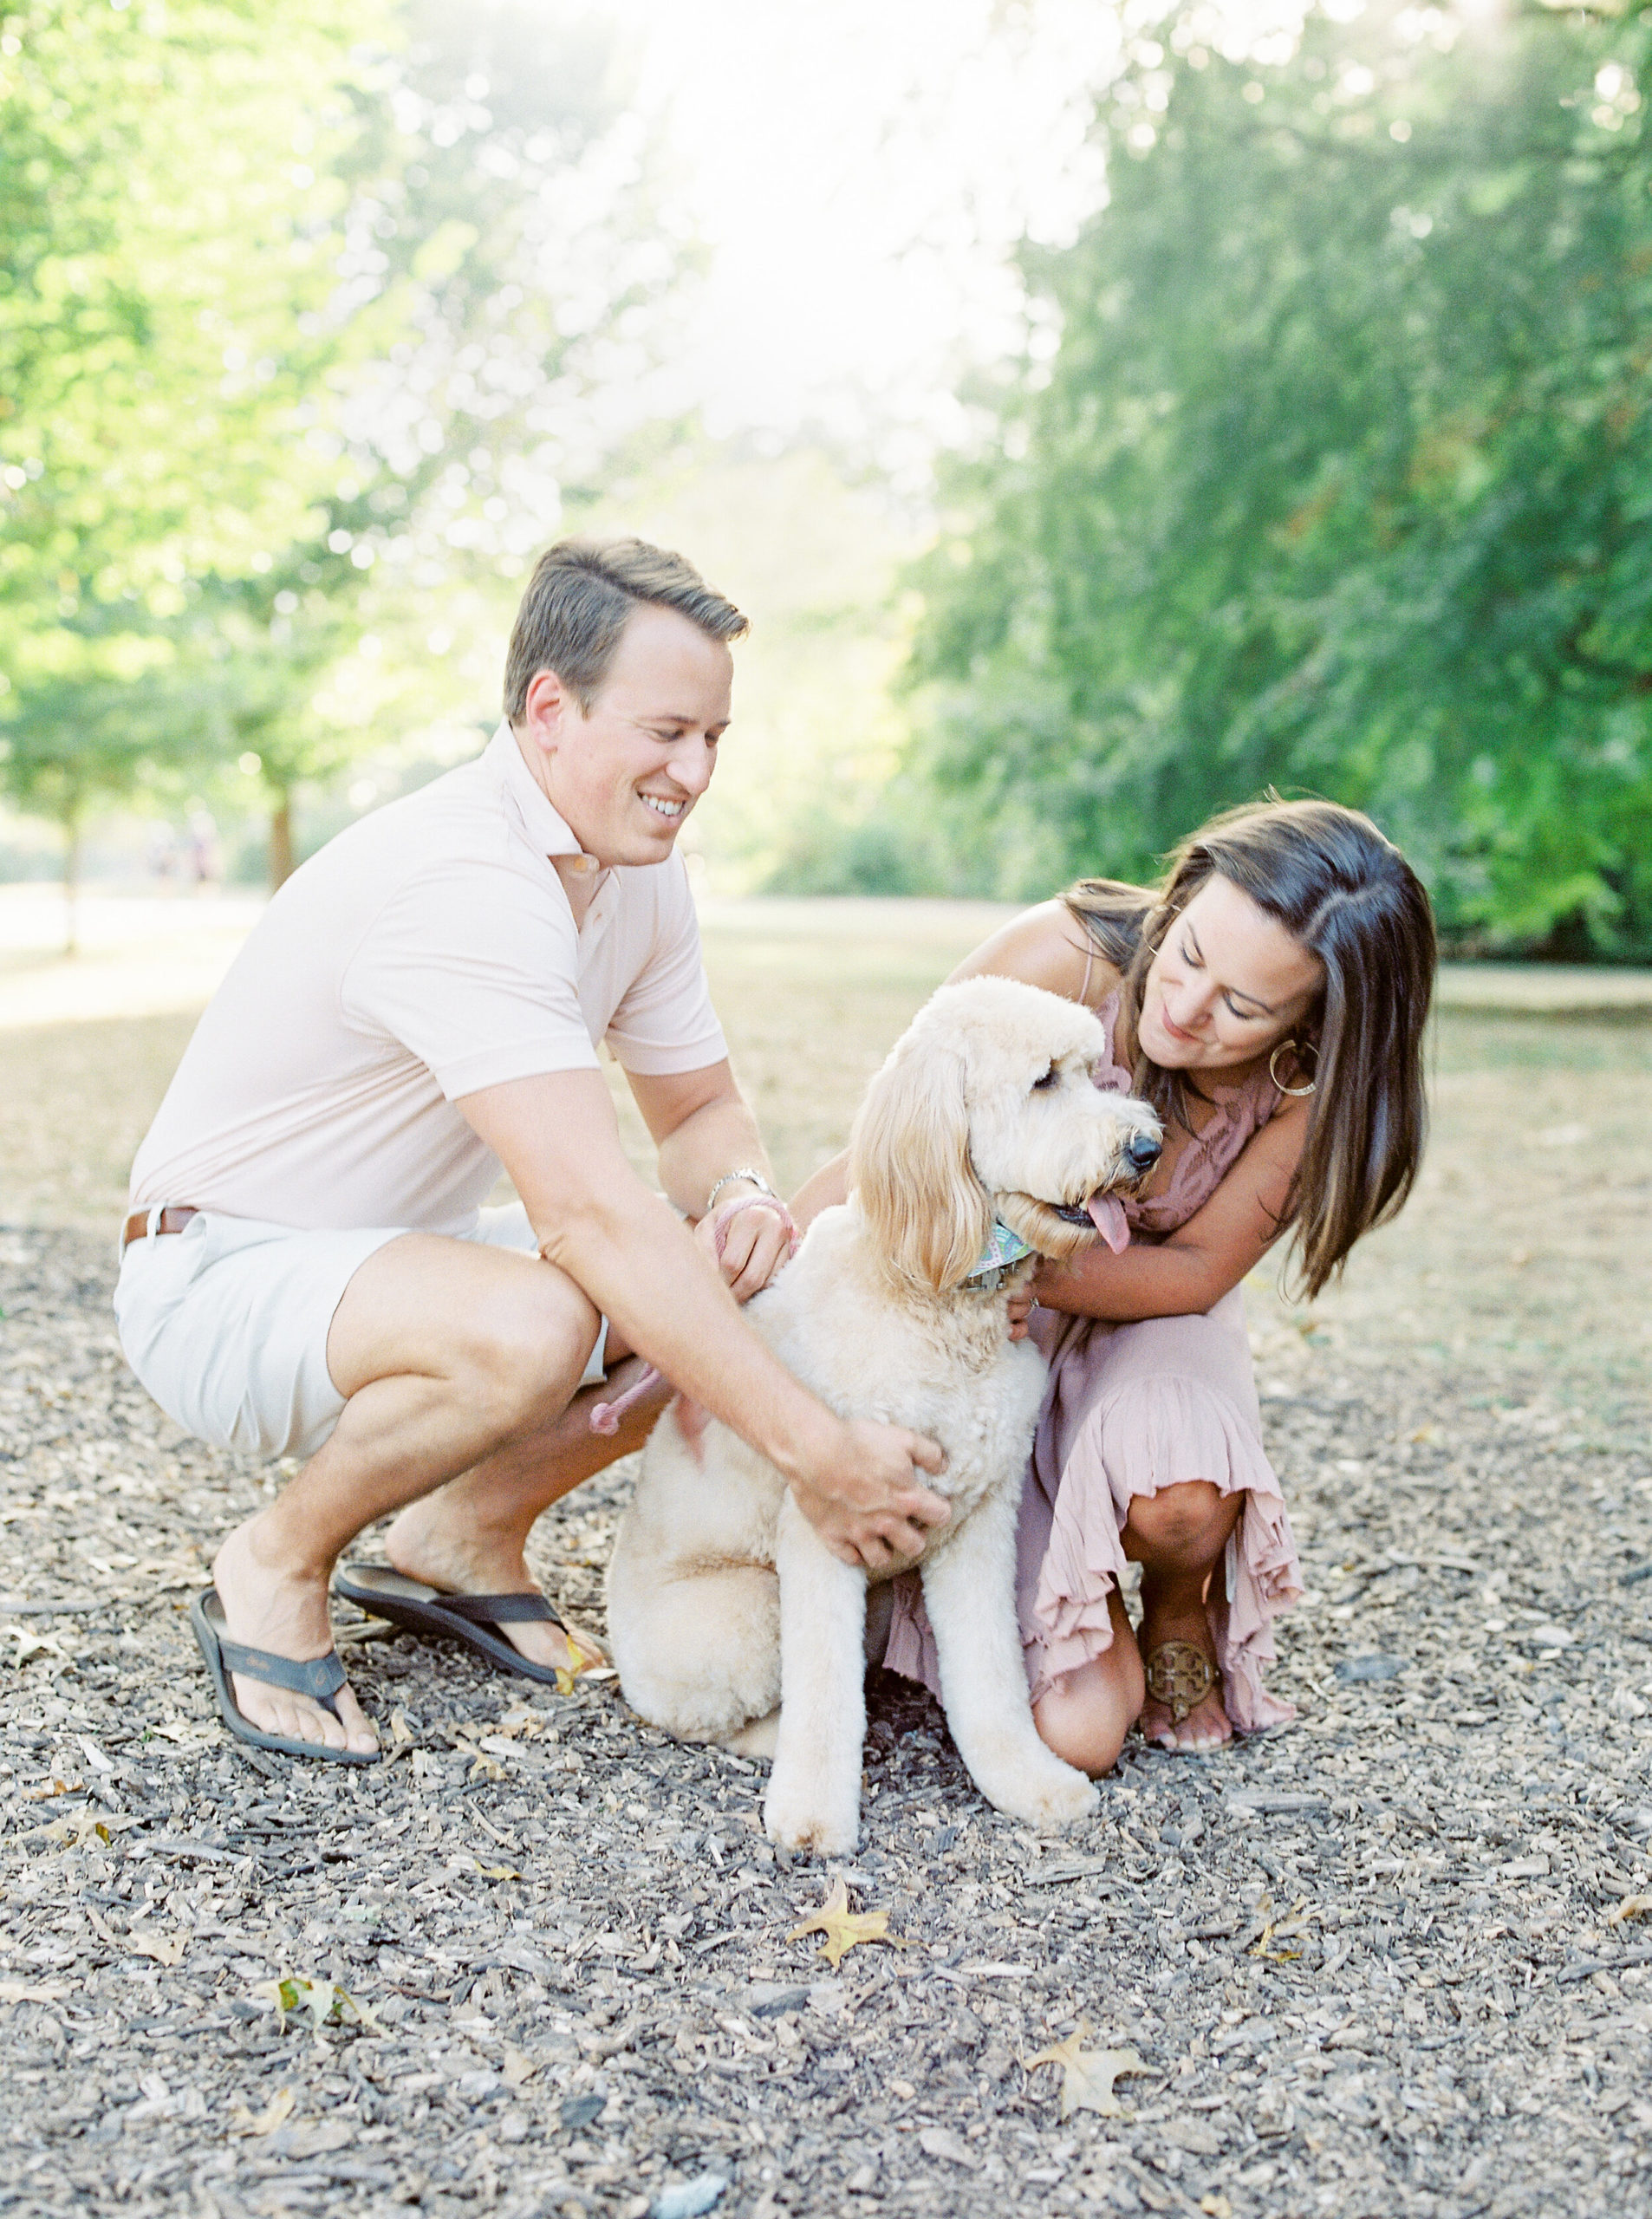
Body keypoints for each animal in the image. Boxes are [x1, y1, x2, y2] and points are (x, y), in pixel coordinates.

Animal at [607, 976, 1161, 1855]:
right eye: (1043, 1081)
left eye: (1092, 1071)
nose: (1146, 1150)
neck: (937, 1300)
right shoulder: (822, 1529)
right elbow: (825, 1694)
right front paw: (811, 1815)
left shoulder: (982, 1521)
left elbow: (991, 1674)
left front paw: (1025, 1782)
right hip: (740, 1616)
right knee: (703, 1715)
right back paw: (772, 1740)